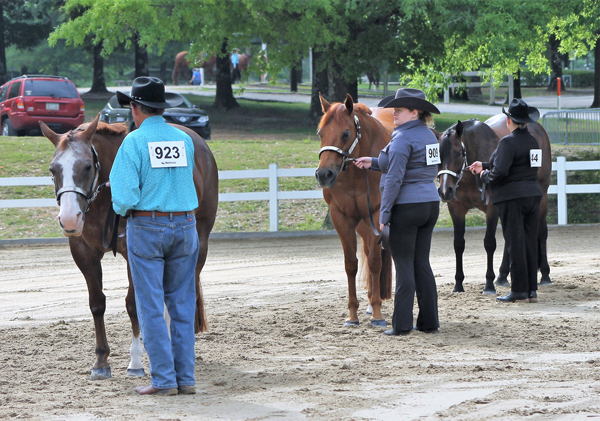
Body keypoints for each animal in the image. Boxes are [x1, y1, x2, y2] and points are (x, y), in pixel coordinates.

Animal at [39, 114, 218, 378]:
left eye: (87, 166)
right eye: (53, 169)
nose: (70, 219)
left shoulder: (135, 253)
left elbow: (134, 305)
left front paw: (135, 362)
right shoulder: (83, 253)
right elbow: (97, 303)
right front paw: (101, 361)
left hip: (199, 243)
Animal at [314, 93, 394, 326]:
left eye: (346, 133)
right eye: (320, 133)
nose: (324, 174)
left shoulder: (376, 216)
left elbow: (376, 263)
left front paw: (377, 313)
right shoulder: (342, 218)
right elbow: (351, 264)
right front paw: (352, 314)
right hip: (363, 225)